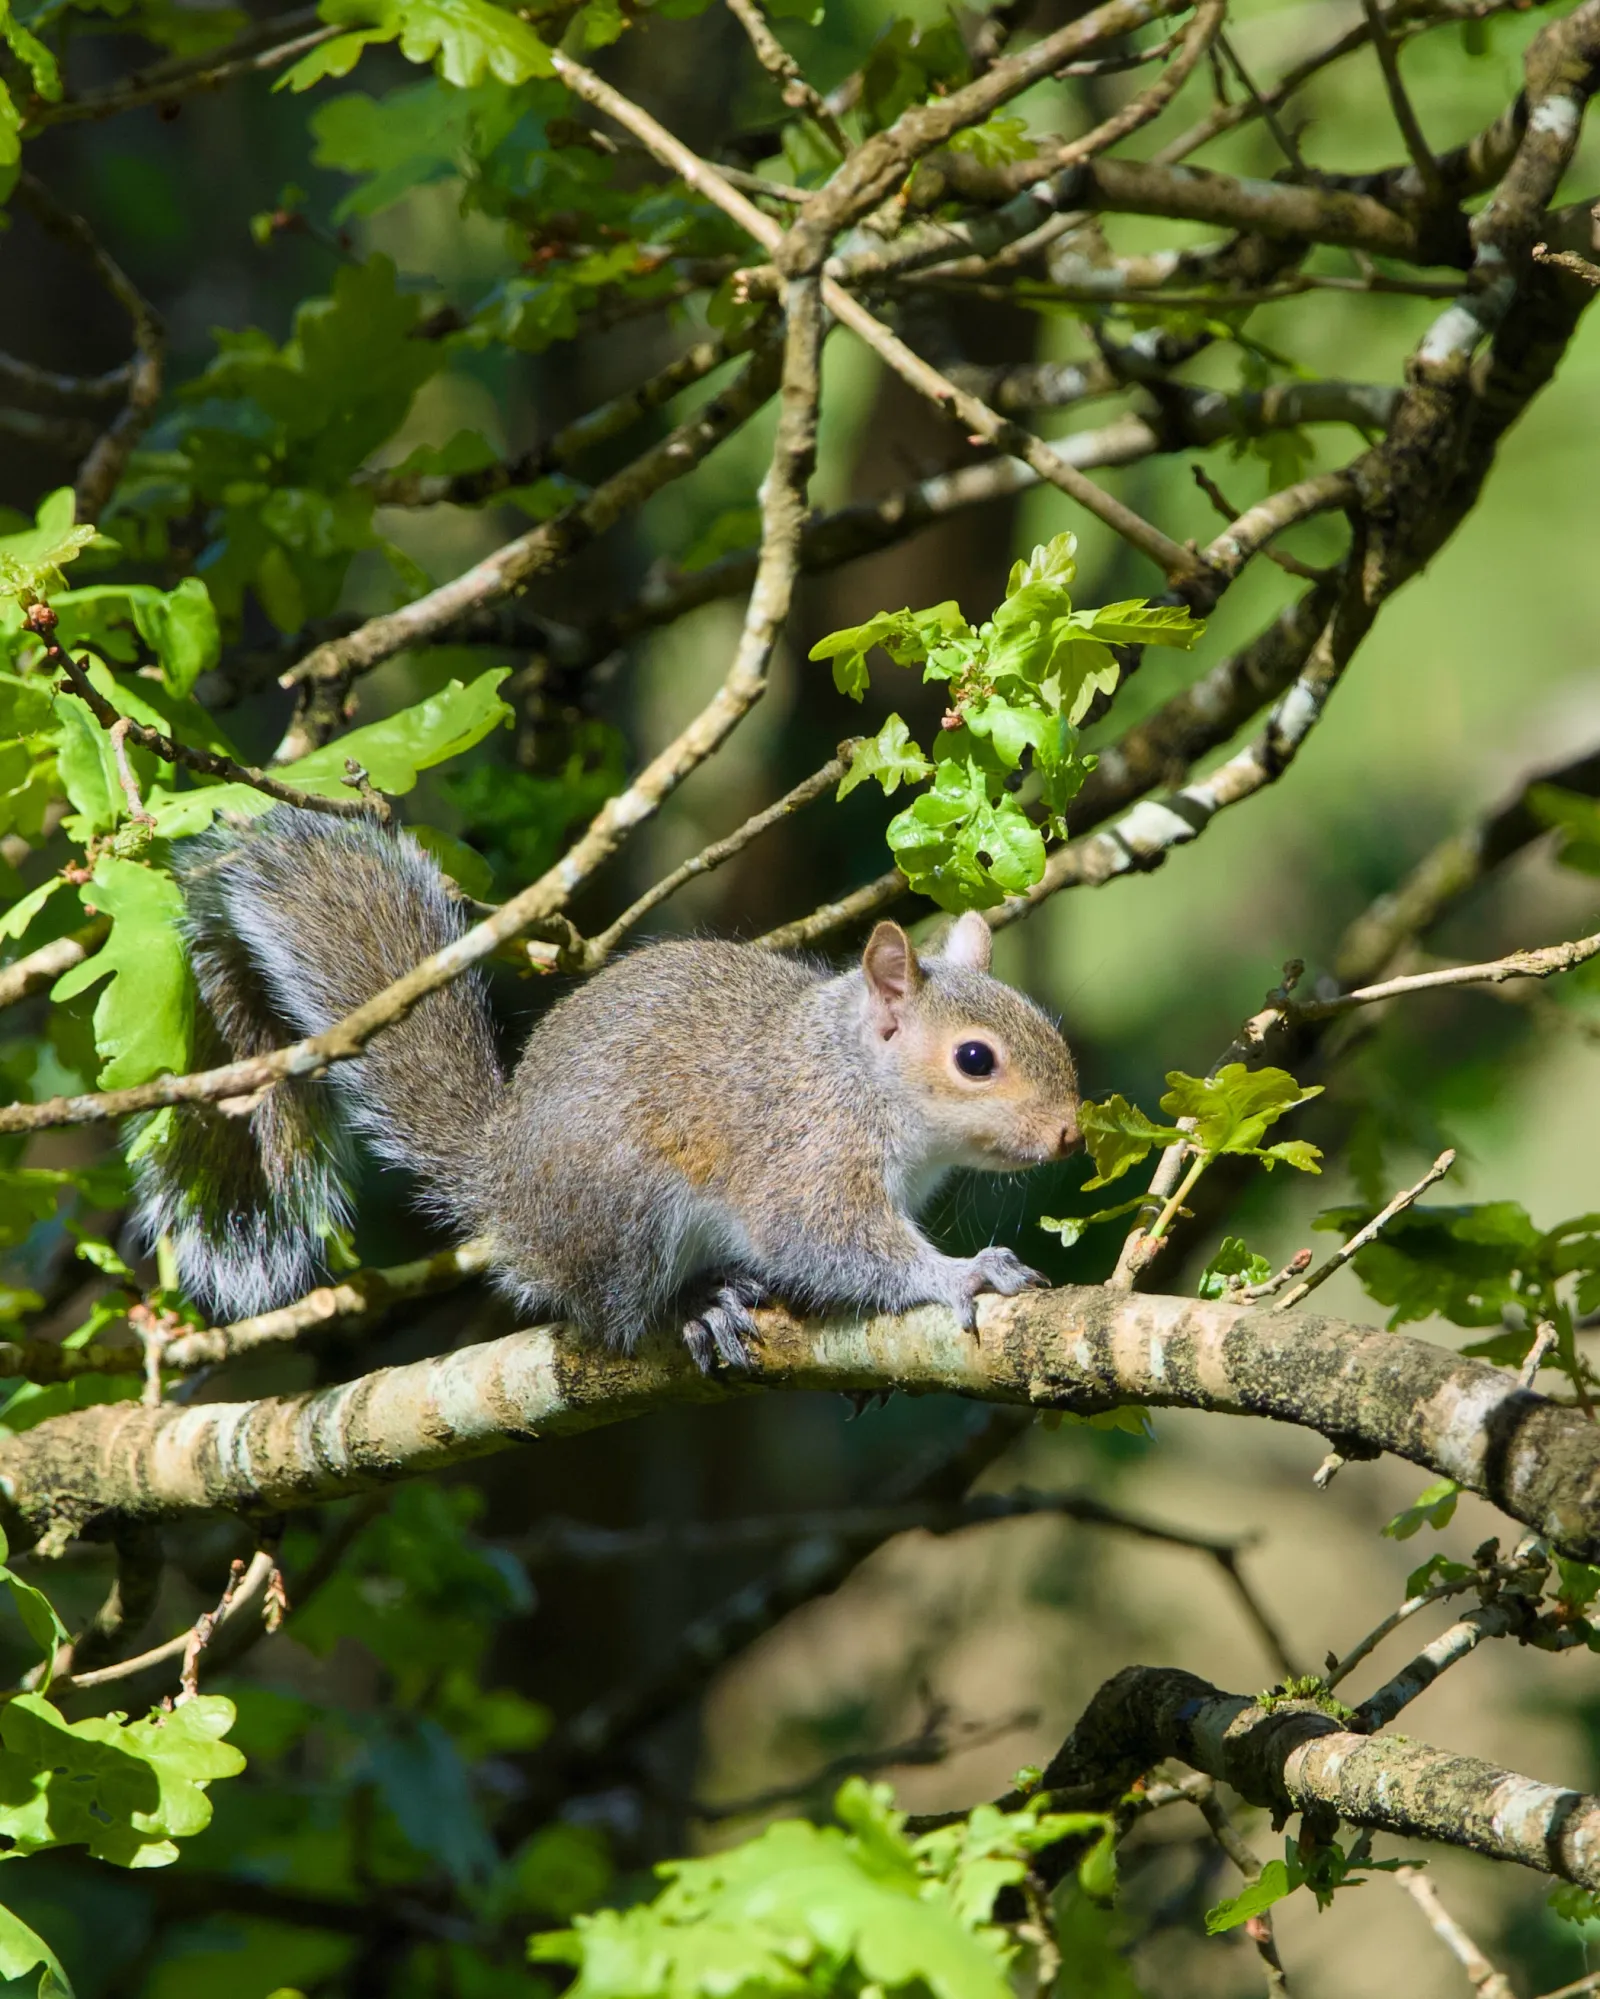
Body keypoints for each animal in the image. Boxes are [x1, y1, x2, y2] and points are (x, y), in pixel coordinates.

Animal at [137, 808, 1083, 1370]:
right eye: (974, 1059)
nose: (1070, 1134)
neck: (856, 1071)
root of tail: (503, 1183)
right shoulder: (807, 1151)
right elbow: (830, 1241)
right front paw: (962, 1273)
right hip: (627, 1206)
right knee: (614, 1314)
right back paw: (696, 1306)